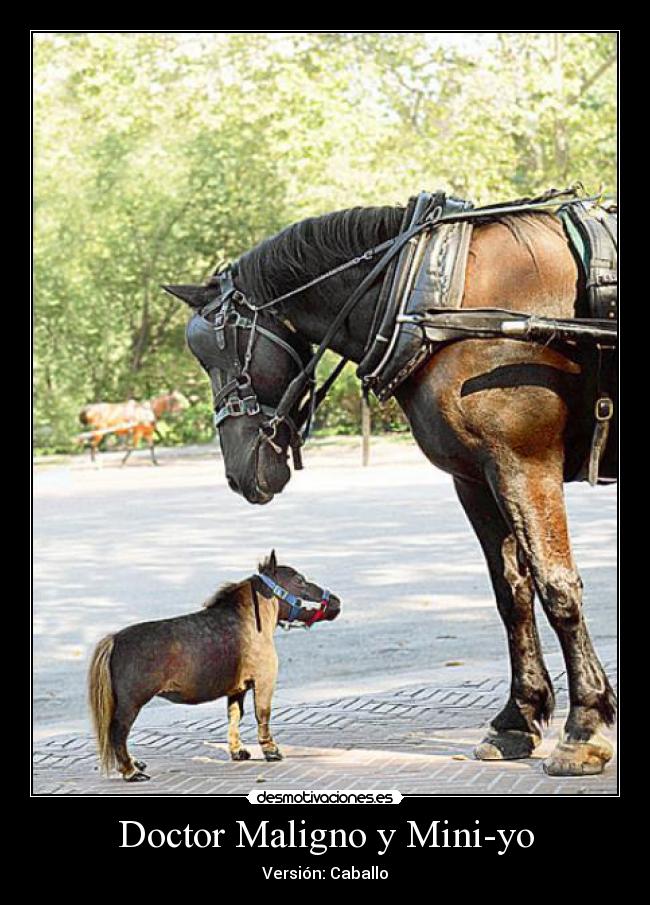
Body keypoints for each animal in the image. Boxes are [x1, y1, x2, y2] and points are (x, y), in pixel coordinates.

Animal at [88, 551, 341, 781]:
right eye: (299, 580)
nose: (335, 601)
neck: (249, 622)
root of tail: (115, 640)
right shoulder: (264, 681)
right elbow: (262, 715)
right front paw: (271, 751)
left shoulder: (237, 689)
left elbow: (235, 716)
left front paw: (238, 751)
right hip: (131, 703)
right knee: (118, 733)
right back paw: (131, 771)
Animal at [166, 194, 617, 777]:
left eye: (219, 356)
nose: (237, 471)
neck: (436, 300)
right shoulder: (476, 476)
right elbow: (512, 595)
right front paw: (518, 718)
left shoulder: (524, 463)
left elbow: (557, 589)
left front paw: (584, 724)